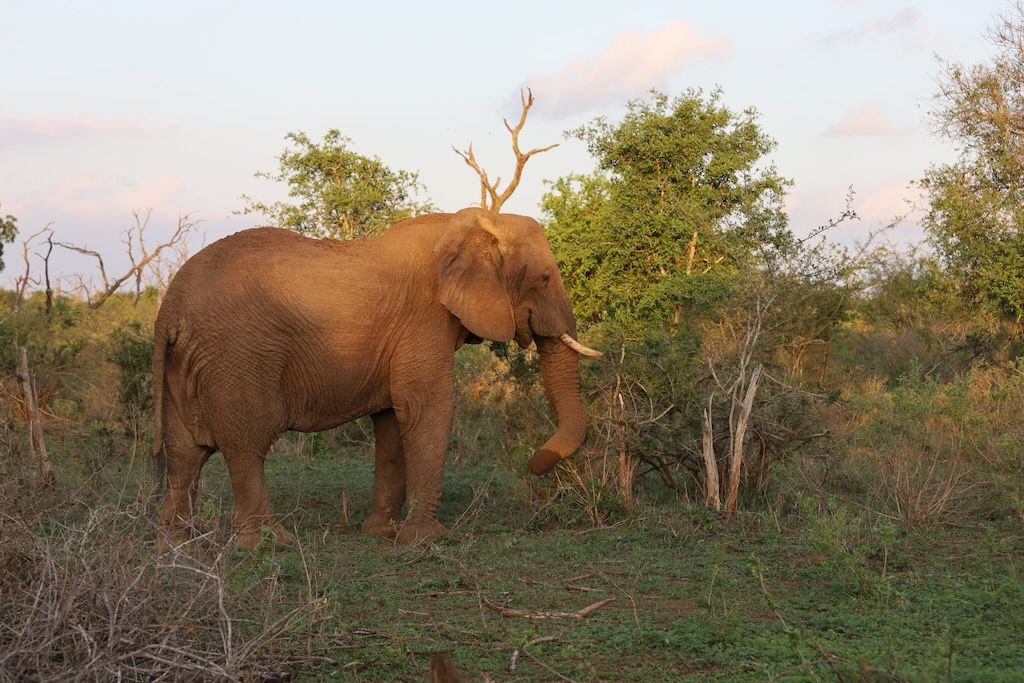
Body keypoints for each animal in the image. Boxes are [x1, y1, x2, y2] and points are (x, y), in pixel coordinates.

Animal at [152, 207, 600, 548]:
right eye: (544, 278)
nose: (532, 463)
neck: (478, 220)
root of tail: (169, 307)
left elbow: (391, 421)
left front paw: (382, 533)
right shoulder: (424, 319)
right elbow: (426, 407)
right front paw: (426, 540)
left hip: (186, 363)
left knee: (185, 451)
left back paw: (177, 543)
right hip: (237, 358)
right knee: (245, 446)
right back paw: (269, 544)